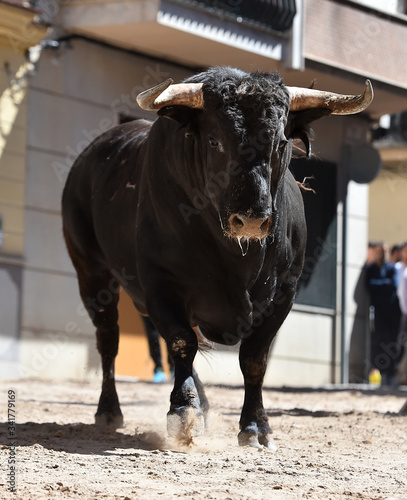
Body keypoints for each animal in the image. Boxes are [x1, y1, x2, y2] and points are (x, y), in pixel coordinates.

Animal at [61, 67, 372, 450]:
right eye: (214, 142)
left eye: (281, 142)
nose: (251, 219)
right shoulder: (161, 284)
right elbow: (182, 342)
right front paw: (182, 412)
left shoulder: (284, 294)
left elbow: (253, 359)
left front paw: (255, 426)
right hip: (92, 274)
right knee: (109, 339)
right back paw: (110, 410)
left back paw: (203, 406)